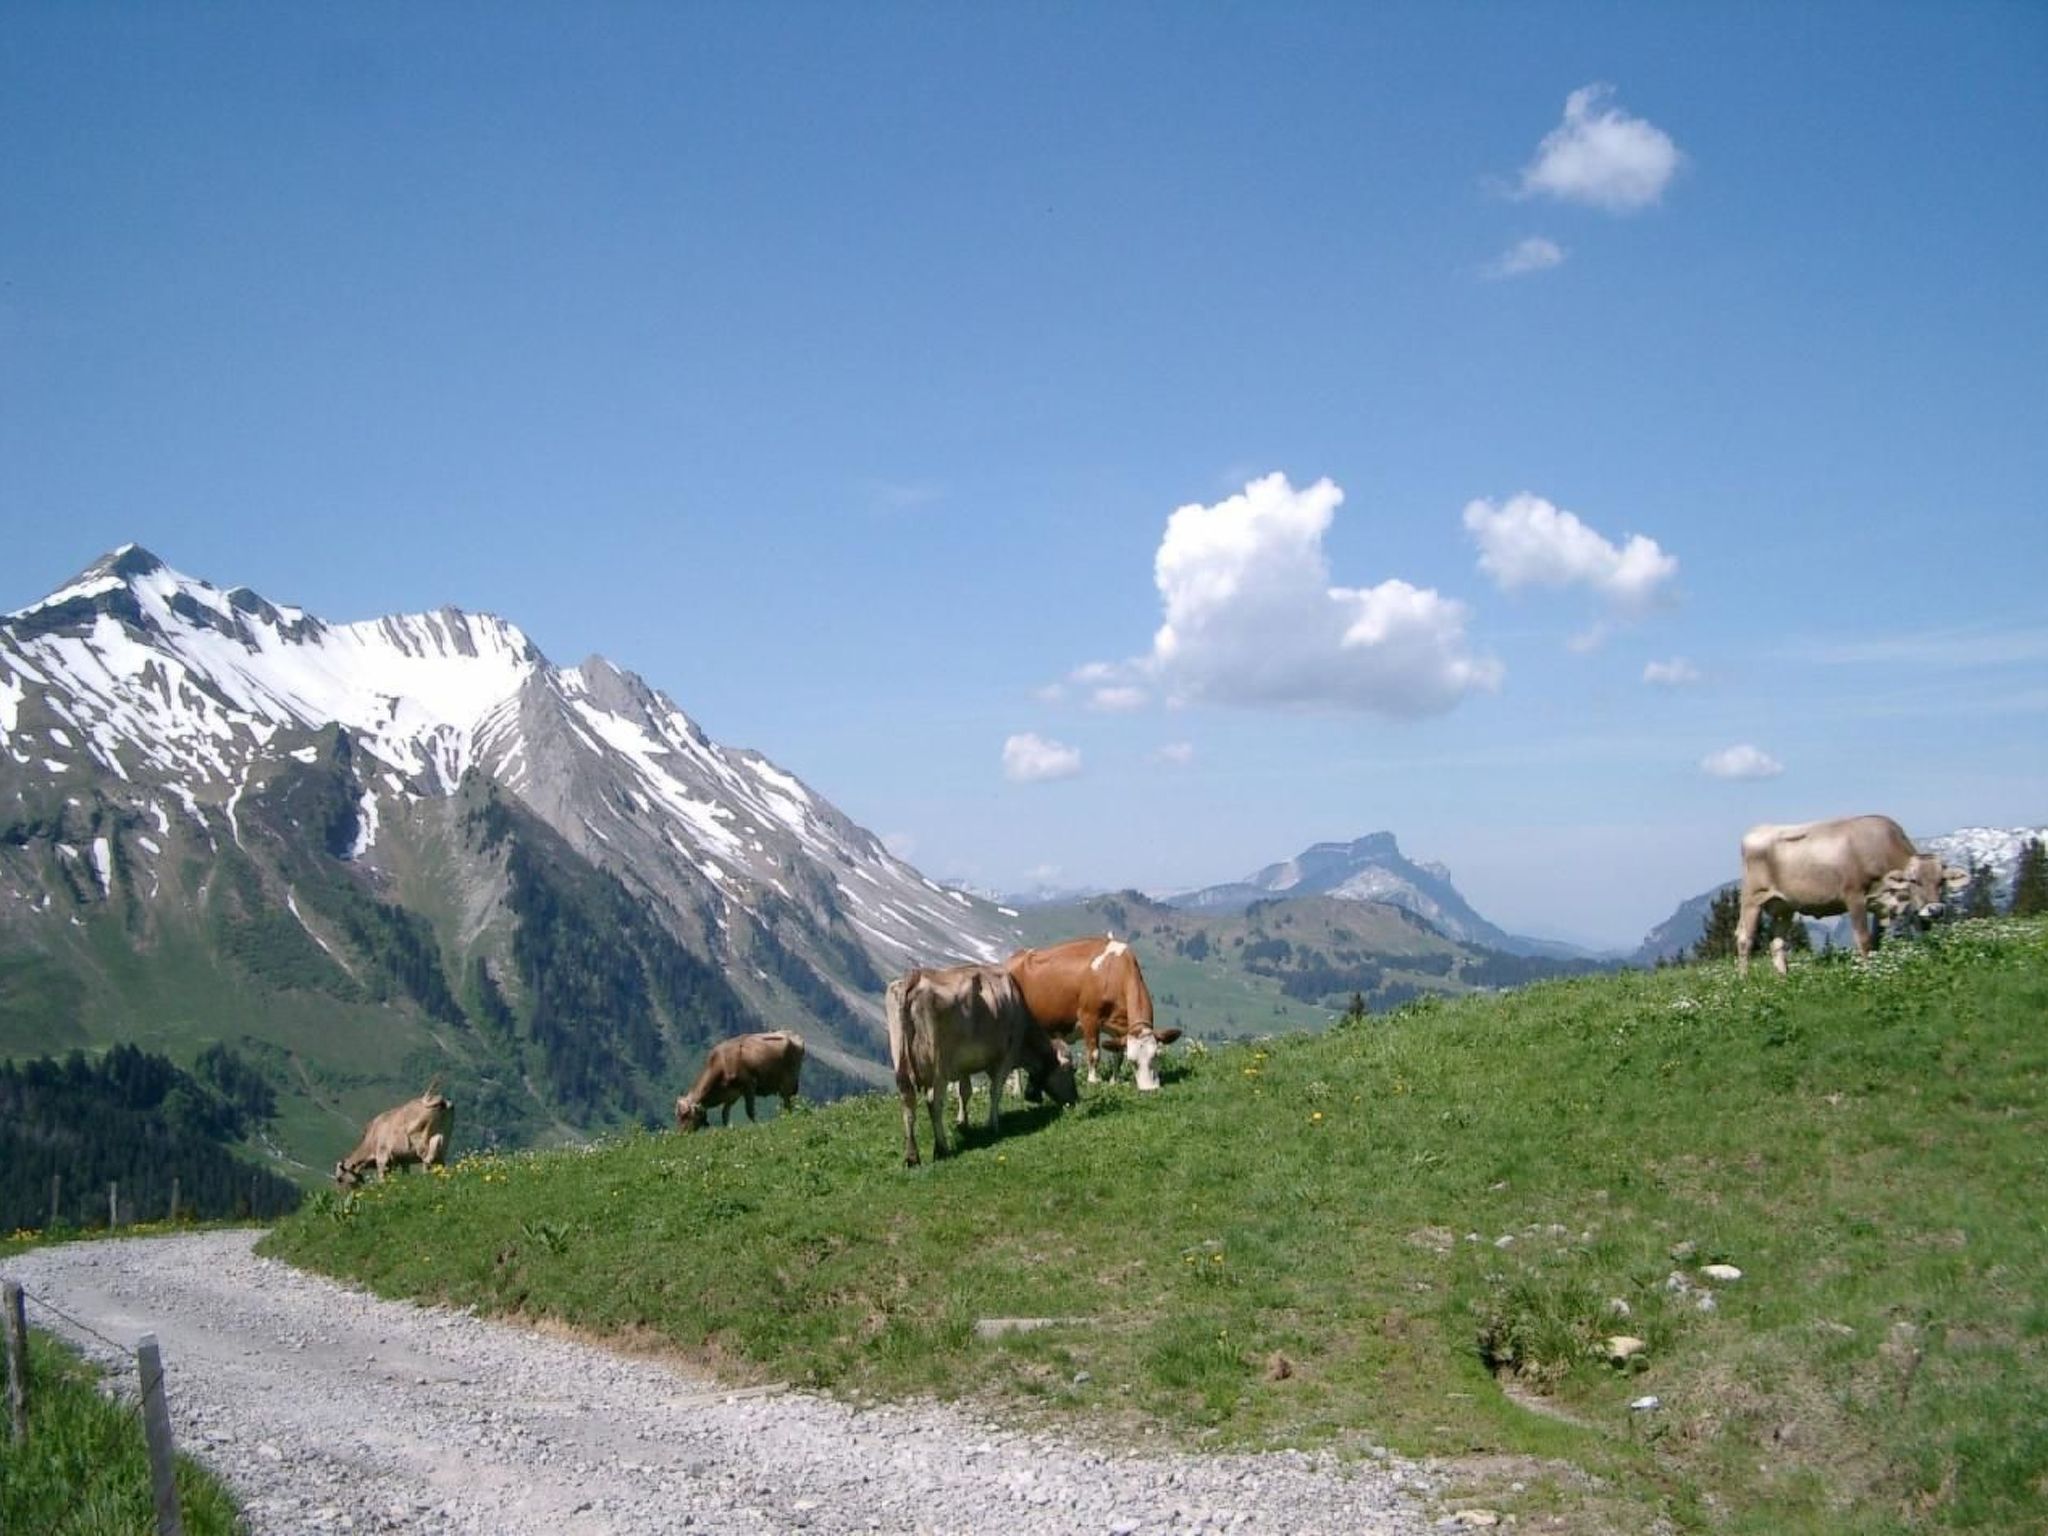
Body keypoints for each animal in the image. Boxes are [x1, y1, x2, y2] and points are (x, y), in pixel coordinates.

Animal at [675, 1031, 806, 1131]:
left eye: (685, 1115)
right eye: (677, 1115)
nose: (681, 1134)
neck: (721, 1062)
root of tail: (792, 1035)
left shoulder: (749, 1085)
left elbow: (750, 1111)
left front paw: (756, 1126)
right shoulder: (732, 1095)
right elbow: (725, 1115)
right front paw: (728, 1130)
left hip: (787, 1083)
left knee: (788, 1104)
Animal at [887, 964, 1078, 1167]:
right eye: (1071, 1070)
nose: (1075, 1099)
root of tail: (915, 977)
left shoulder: (962, 1065)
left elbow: (964, 1092)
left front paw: (963, 1123)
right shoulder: (1005, 1058)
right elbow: (995, 1091)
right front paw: (993, 1124)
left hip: (900, 1062)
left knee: (907, 1103)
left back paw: (912, 1156)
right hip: (938, 1067)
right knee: (933, 1102)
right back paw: (941, 1149)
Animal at [1005, 934, 1183, 1089]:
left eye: (1157, 1055)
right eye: (1133, 1061)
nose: (1149, 1089)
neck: (1114, 971)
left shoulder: (1119, 1027)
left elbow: (1117, 1055)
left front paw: (1114, 1081)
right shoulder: (1089, 1017)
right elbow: (1094, 1052)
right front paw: (1093, 1080)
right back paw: (1017, 1091)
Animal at [1736, 814, 1966, 978]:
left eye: (1941, 881)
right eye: (1914, 880)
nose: (1935, 909)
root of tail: (1756, 830)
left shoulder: (1880, 904)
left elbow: (1876, 941)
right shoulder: (1854, 896)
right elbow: (1863, 939)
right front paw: (1869, 973)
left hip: (1784, 907)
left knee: (1777, 943)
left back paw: (1784, 979)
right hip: (1752, 899)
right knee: (1745, 938)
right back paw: (1744, 981)